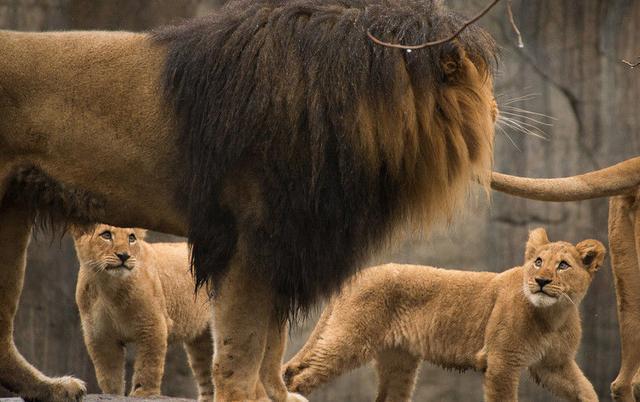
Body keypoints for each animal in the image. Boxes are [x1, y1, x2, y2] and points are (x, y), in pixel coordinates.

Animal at [0, 1, 500, 400]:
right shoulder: (248, 238)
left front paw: (275, 395)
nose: (498, 111)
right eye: (483, 88)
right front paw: (245, 395)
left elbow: (270, 345)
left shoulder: (286, 243)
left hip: (11, 212)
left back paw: (47, 388)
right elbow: (242, 348)